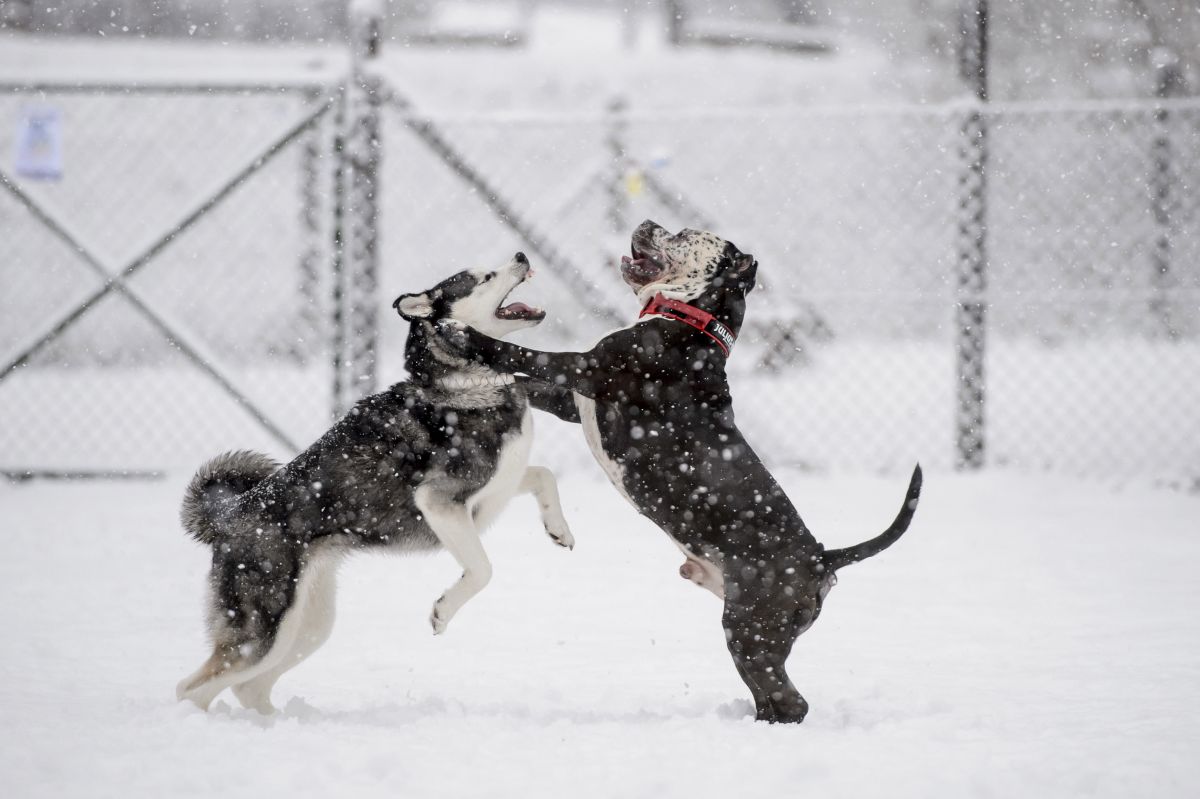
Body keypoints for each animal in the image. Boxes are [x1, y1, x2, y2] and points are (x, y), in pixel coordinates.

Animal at [175, 253, 573, 710]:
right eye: (482, 277)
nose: (521, 256)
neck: (467, 385)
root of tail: (230, 515)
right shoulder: (439, 502)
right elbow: (483, 570)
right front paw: (442, 611)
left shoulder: (500, 487)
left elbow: (544, 476)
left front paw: (559, 529)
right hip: (263, 627)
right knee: (193, 688)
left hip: (309, 623)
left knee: (248, 686)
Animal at [446, 219, 921, 719]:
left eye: (684, 233)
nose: (648, 223)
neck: (693, 321)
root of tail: (822, 557)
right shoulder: (575, 400)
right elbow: (526, 382)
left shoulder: (587, 369)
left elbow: (521, 353)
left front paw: (463, 334)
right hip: (754, 634)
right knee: (770, 695)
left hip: (750, 629)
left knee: (790, 701)